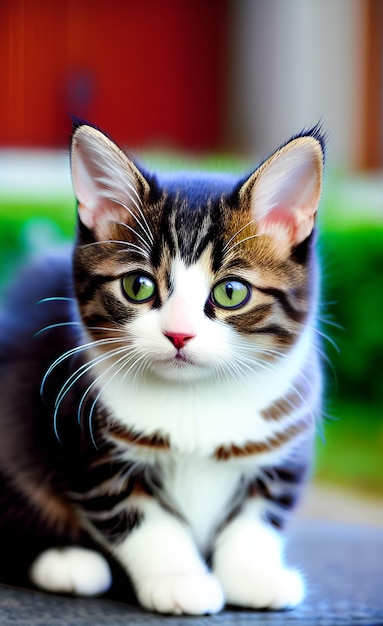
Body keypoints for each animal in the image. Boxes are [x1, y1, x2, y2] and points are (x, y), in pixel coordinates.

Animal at [0, 123, 324, 616]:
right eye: (138, 286)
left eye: (231, 292)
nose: (179, 334)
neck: (194, 396)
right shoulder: (87, 443)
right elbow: (142, 518)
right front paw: (180, 580)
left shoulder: (284, 439)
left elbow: (257, 515)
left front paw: (253, 575)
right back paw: (66, 560)